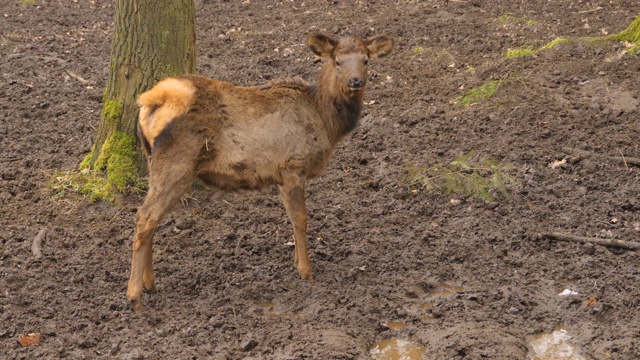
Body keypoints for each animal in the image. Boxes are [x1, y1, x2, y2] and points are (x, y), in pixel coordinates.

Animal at [127, 32, 392, 310]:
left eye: (365, 60)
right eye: (338, 61)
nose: (355, 81)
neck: (325, 121)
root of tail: (149, 102)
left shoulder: (282, 175)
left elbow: (291, 218)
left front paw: (296, 262)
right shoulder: (293, 165)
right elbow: (301, 218)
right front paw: (306, 272)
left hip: (154, 161)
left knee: (152, 218)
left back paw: (150, 283)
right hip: (176, 164)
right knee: (145, 216)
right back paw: (134, 294)